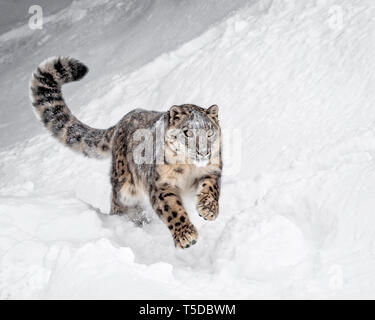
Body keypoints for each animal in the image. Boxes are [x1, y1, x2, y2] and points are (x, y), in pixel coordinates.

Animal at [31, 57, 223, 248]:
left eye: (209, 132)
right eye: (187, 132)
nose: (203, 152)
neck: (189, 168)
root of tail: (122, 121)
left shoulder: (212, 170)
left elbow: (211, 188)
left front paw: (208, 209)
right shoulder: (160, 184)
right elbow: (171, 209)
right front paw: (185, 236)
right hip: (125, 188)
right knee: (118, 203)